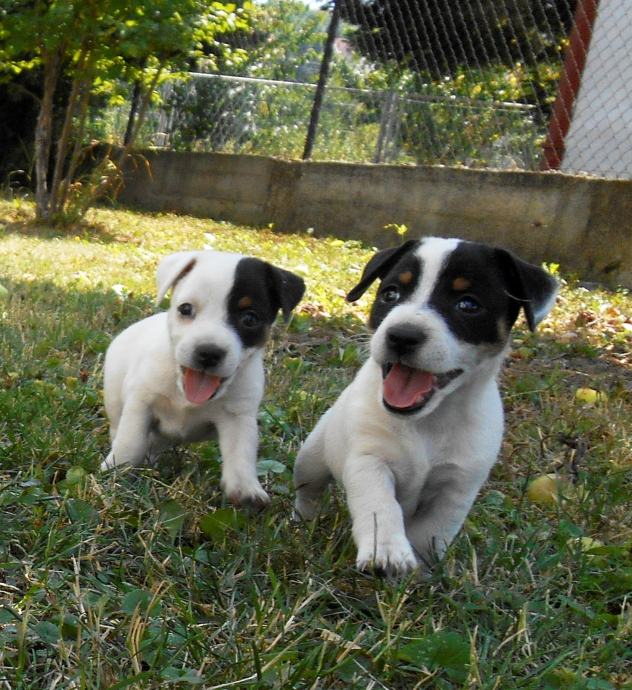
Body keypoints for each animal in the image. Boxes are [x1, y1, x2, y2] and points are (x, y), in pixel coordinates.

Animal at [102, 249, 304, 506]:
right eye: (185, 309)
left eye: (250, 319)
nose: (208, 353)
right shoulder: (141, 402)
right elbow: (131, 439)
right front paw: (118, 468)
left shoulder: (239, 416)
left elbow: (241, 452)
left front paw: (245, 488)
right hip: (114, 398)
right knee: (119, 427)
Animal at [294, 239, 556, 572]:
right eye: (390, 294)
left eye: (468, 305)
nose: (402, 335)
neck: (428, 422)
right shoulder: (369, 460)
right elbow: (380, 506)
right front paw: (386, 552)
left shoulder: (456, 488)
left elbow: (432, 531)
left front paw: (422, 570)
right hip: (312, 459)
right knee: (309, 490)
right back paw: (305, 520)